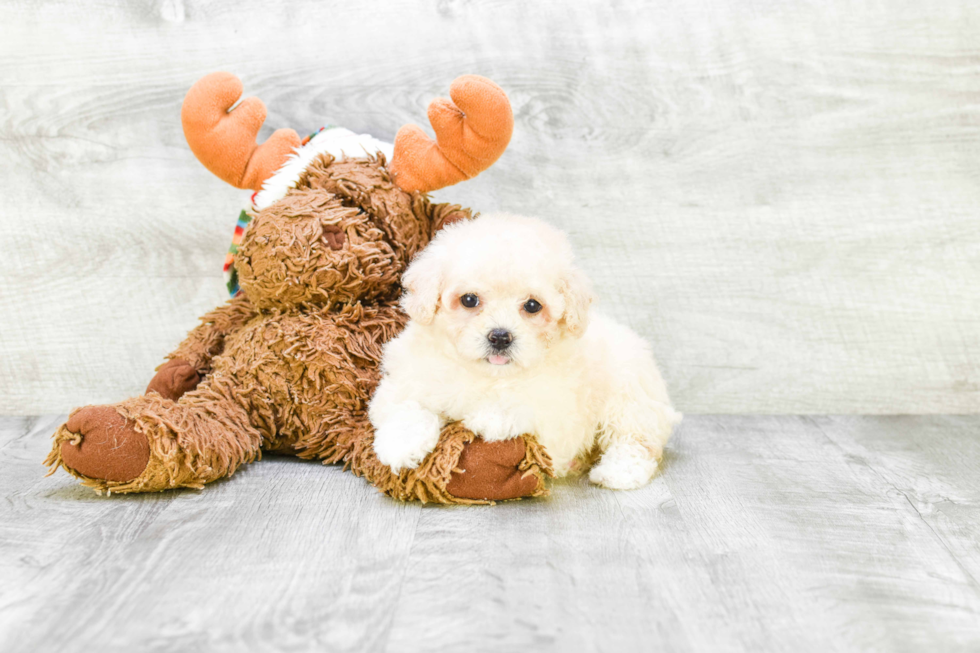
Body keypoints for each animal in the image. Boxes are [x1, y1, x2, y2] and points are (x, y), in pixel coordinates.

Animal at [368, 211, 680, 486]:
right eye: (469, 299)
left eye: (532, 305)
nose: (500, 337)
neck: (488, 375)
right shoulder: (406, 380)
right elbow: (408, 407)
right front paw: (400, 445)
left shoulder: (557, 414)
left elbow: (518, 405)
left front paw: (486, 417)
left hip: (631, 396)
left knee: (636, 441)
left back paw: (617, 473)